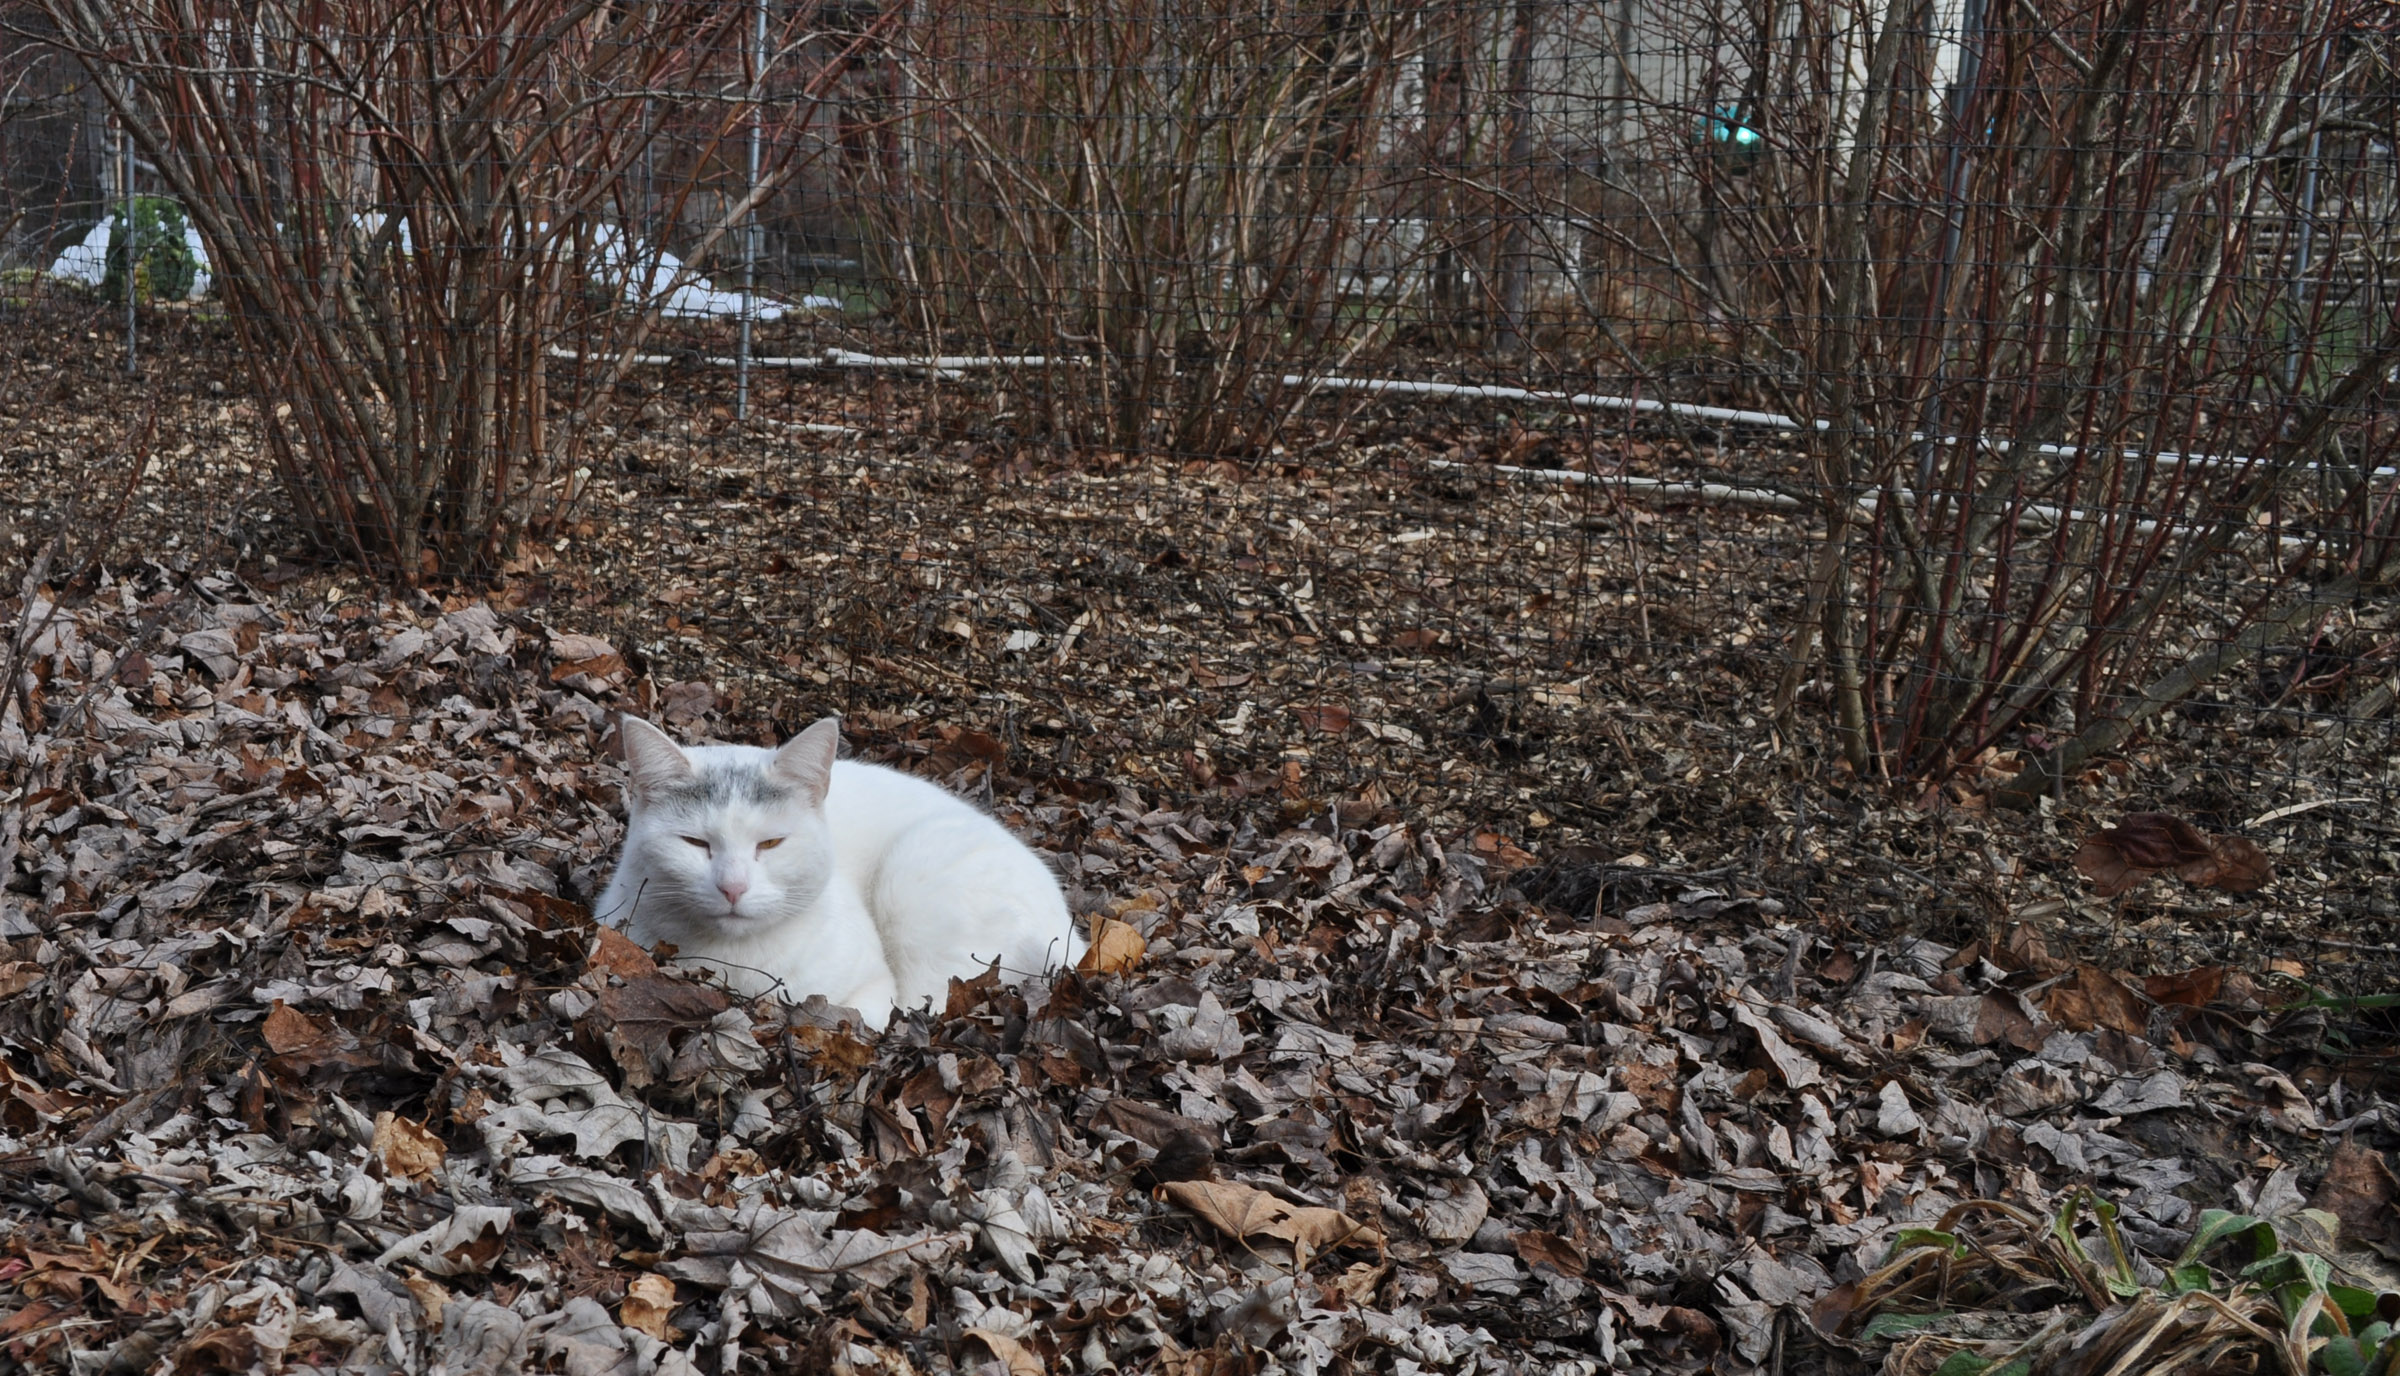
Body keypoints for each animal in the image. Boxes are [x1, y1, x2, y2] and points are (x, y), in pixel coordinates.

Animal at [595, 715, 1084, 1022]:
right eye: (695, 843)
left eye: (771, 843)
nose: (733, 888)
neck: (733, 962)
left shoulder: (874, 991)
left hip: (913, 875)